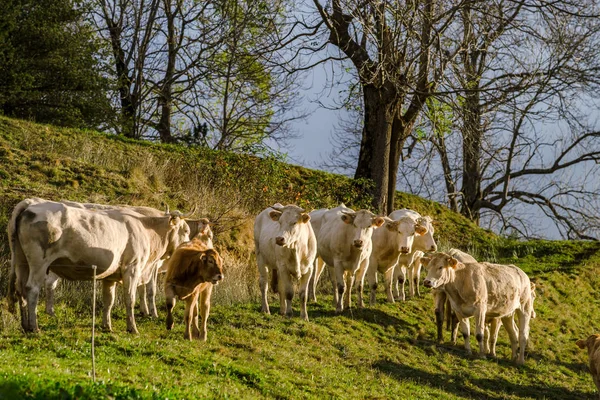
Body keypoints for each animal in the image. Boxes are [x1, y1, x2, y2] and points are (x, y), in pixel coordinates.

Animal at [8, 198, 191, 332]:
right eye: (186, 231)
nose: (189, 248)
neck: (146, 229)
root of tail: (30, 203)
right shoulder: (132, 268)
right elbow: (130, 298)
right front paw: (132, 328)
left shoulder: (110, 276)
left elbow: (108, 300)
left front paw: (107, 326)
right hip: (39, 262)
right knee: (32, 289)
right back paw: (34, 327)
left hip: (21, 262)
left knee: (21, 289)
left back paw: (25, 325)